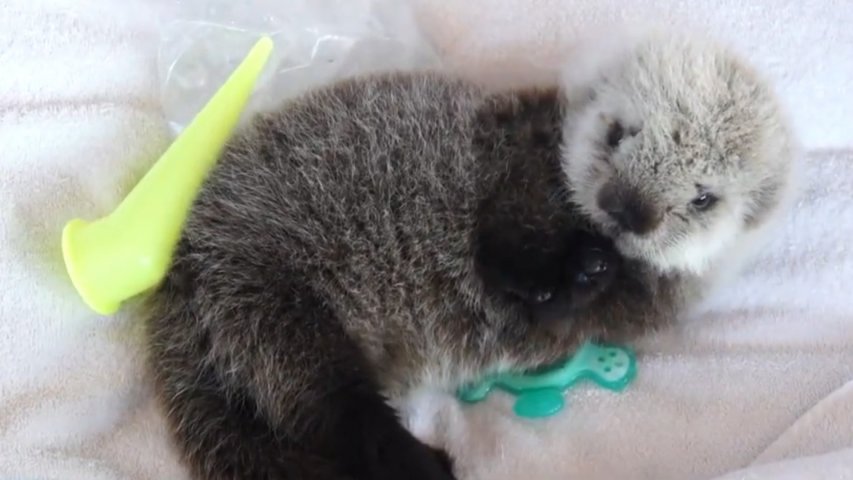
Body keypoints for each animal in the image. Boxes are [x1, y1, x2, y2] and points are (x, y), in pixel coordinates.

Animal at [143, 32, 796, 480]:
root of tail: (183, 268)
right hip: (271, 298)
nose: (625, 207)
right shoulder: (512, 169)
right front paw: (564, 266)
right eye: (618, 133)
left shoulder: (603, 314)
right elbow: (501, 247)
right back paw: (422, 464)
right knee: (332, 407)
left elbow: (560, 310)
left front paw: (587, 270)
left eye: (704, 197)